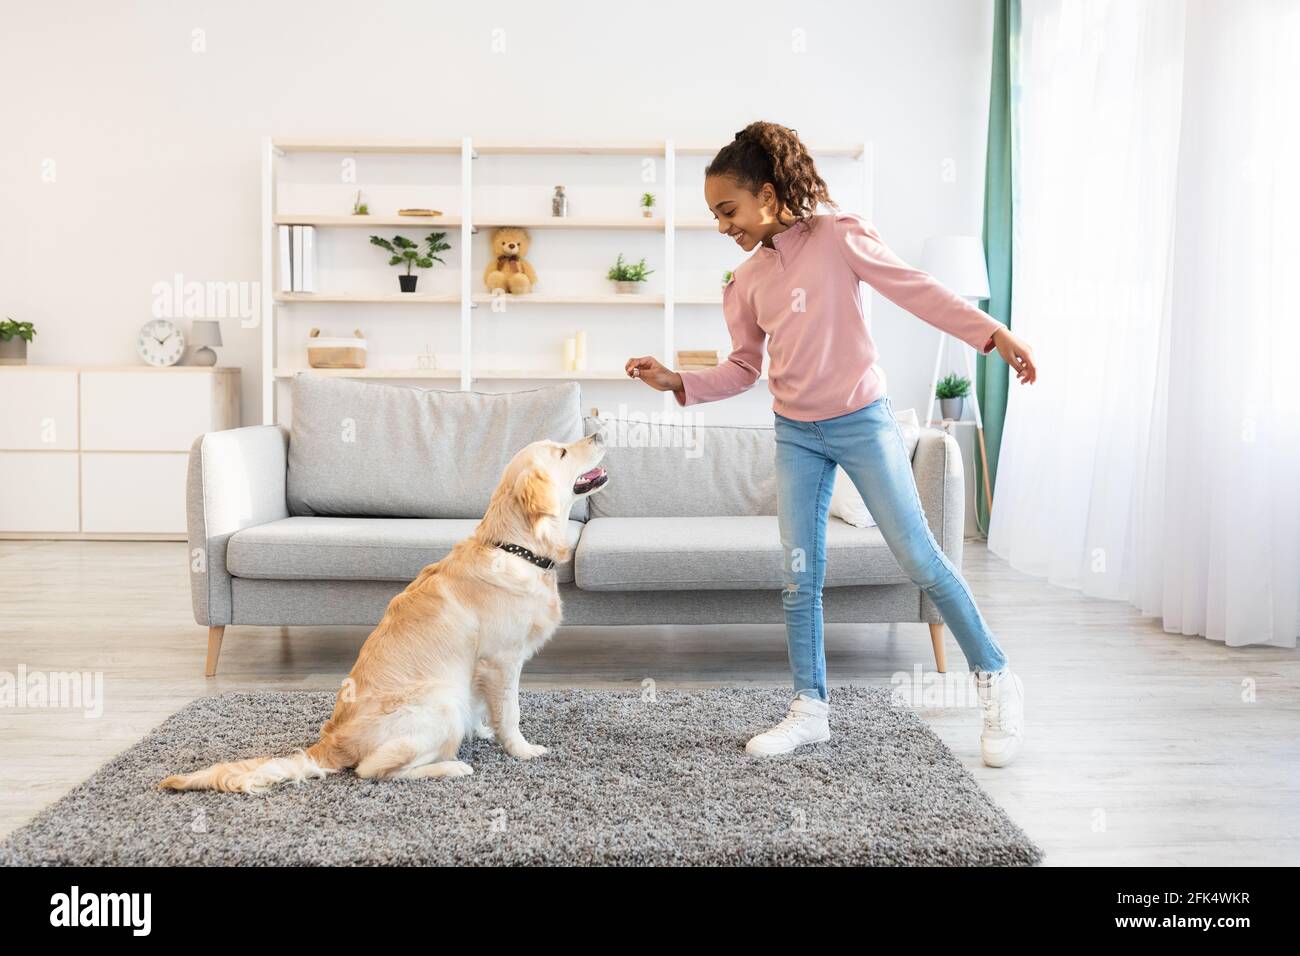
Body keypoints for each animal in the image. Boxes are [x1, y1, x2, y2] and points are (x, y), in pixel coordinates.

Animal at [159, 434, 605, 790]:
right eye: (563, 451)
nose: (599, 432)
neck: (516, 549)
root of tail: (329, 743)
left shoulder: (482, 669)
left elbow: (485, 705)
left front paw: (483, 729)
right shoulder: (501, 659)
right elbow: (510, 712)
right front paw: (522, 750)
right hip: (439, 703)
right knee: (373, 770)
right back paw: (450, 767)